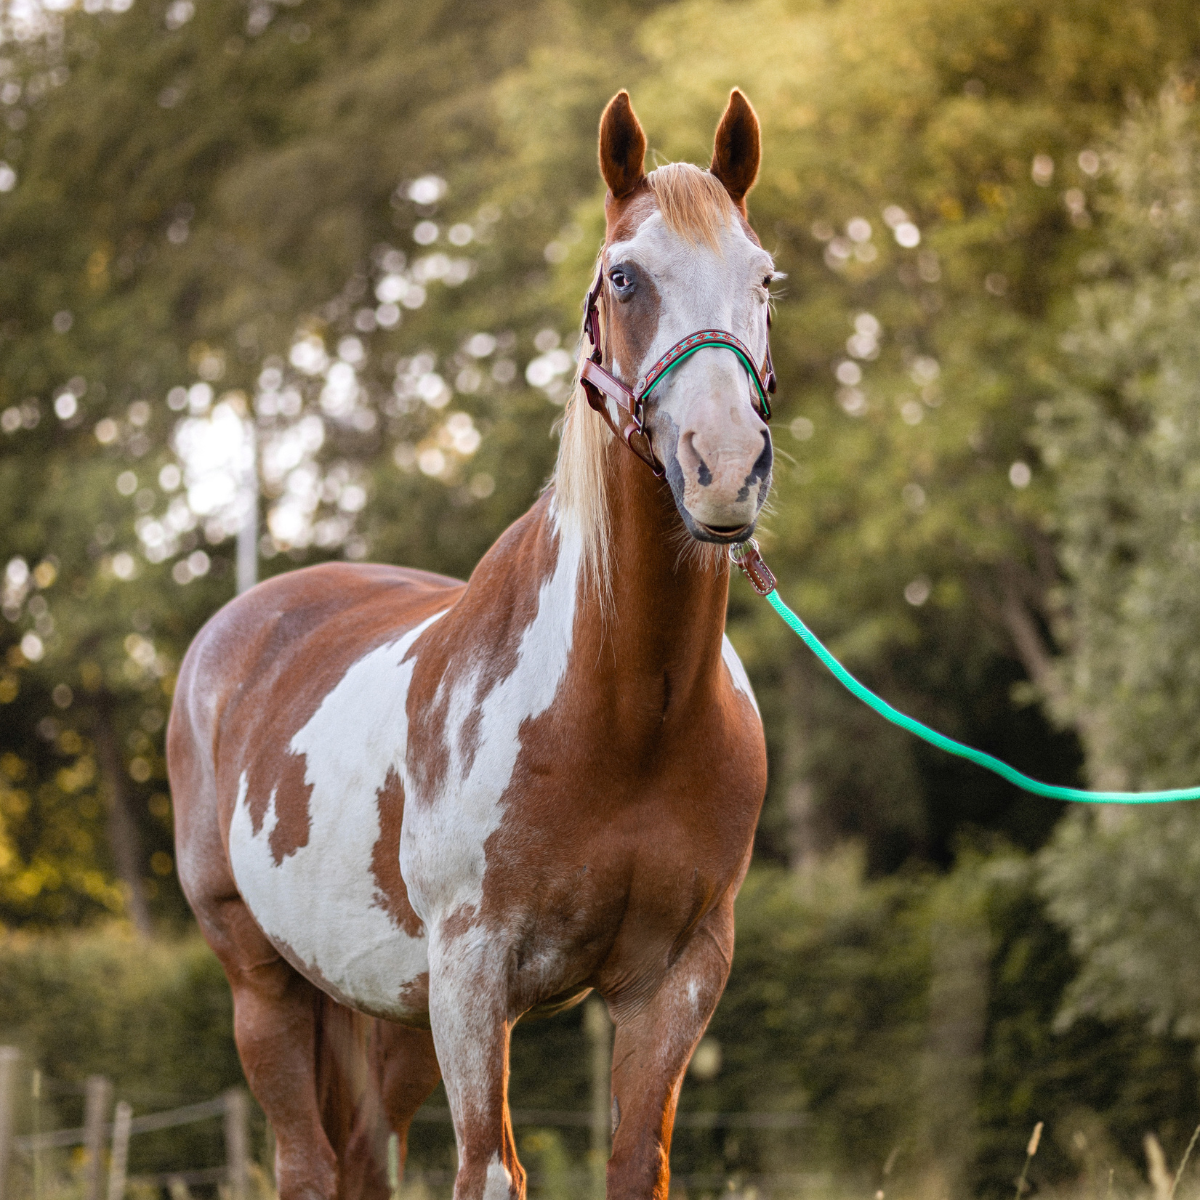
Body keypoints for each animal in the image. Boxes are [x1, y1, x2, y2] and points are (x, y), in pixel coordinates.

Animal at [167, 87, 775, 1200]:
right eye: (623, 277)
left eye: (764, 278)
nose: (724, 465)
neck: (628, 707)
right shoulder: (472, 976)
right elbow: (489, 1174)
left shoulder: (677, 976)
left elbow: (639, 1164)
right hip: (264, 985)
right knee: (306, 1164)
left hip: (385, 1009)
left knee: (363, 1163)